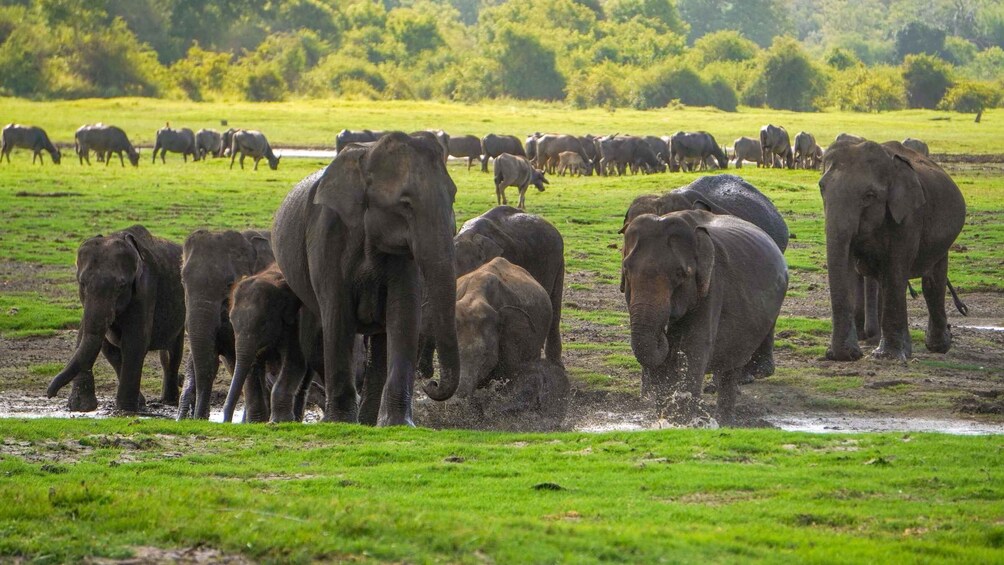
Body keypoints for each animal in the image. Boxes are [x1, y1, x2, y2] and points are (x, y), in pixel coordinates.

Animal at [46, 225, 185, 412]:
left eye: (121, 286)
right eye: (82, 283)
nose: (50, 393)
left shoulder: (146, 289)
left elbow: (135, 341)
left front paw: (125, 410)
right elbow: (95, 340)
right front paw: (81, 407)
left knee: (173, 353)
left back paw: (169, 402)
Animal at [271, 132, 461, 426]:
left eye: (453, 196)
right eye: (405, 204)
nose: (431, 384)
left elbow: (403, 316)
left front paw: (398, 424)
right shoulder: (327, 235)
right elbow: (337, 315)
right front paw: (339, 421)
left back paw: (368, 421)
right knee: (312, 344)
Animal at [622, 210, 788, 426]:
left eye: (680, 273)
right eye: (626, 269)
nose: (665, 331)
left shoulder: (712, 286)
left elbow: (694, 346)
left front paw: (682, 422)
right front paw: (666, 421)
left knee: (730, 369)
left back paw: (724, 422)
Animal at [820, 139, 966, 361]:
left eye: (869, 195)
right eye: (821, 188)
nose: (844, 354)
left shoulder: (909, 216)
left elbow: (896, 268)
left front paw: (887, 355)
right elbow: (848, 267)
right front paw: (847, 354)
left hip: (942, 240)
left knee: (933, 282)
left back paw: (939, 345)